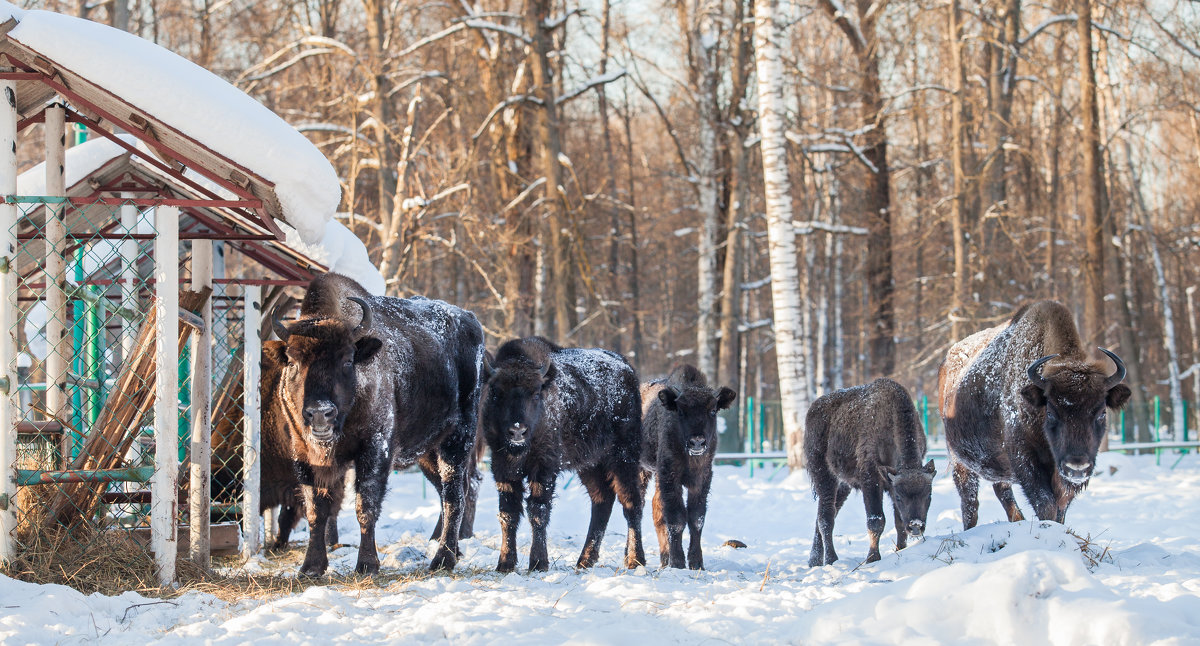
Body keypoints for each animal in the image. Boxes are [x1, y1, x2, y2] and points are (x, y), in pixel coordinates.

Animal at [272, 271, 482, 573]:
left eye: (348, 360)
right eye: (292, 361)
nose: (320, 413)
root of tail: (470, 320)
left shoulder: (374, 450)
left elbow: (365, 505)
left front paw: (367, 564)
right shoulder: (304, 454)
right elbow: (316, 509)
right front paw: (311, 567)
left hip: (458, 438)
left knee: (454, 494)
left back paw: (443, 558)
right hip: (427, 452)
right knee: (450, 490)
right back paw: (449, 548)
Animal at [480, 333, 648, 571]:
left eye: (536, 393)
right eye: (497, 392)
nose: (517, 431)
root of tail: (627, 369)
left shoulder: (544, 468)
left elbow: (538, 509)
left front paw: (538, 562)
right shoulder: (502, 467)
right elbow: (508, 513)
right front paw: (505, 563)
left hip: (624, 457)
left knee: (631, 502)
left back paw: (635, 559)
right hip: (590, 464)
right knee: (602, 501)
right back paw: (585, 560)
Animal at [643, 362, 734, 569]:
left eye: (713, 410)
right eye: (681, 411)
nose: (697, 442)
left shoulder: (702, 479)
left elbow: (696, 518)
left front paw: (696, 562)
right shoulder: (670, 476)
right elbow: (676, 518)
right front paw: (677, 562)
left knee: (656, 508)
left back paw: (664, 558)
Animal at [806, 377, 936, 561]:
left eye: (929, 495)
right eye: (899, 496)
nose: (916, 526)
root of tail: (814, 407)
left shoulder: (890, 482)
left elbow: (898, 522)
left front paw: (900, 550)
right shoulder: (871, 479)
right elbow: (876, 520)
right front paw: (872, 558)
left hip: (844, 485)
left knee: (825, 514)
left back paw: (814, 560)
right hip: (824, 476)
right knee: (826, 516)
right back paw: (831, 559)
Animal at [940, 298, 1128, 525]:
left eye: (1101, 413)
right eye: (1051, 413)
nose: (1077, 468)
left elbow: (1060, 508)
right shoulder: (1026, 459)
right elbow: (1045, 503)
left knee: (1005, 496)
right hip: (960, 462)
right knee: (970, 504)